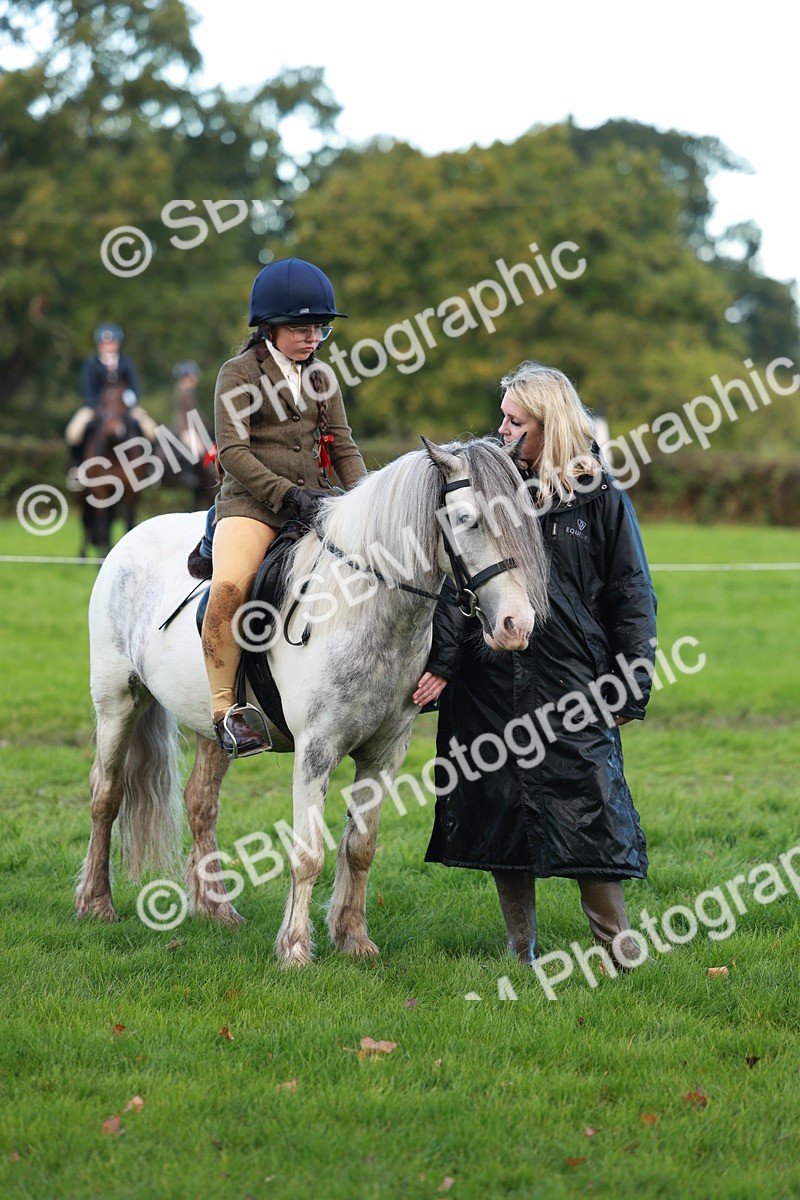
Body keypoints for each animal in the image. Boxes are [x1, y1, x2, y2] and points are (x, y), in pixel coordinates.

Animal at [75, 436, 551, 966]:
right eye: (467, 518)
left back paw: (215, 910)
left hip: (213, 727)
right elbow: (307, 853)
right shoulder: (316, 751)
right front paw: (296, 949)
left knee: (200, 802)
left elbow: (360, 847)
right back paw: (96, 903)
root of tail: (130, 538)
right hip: (117, 702)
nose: (515, 624)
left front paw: (354, 939)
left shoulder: (385, 754)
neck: (360, 605)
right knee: (105, 795)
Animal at [76, 383, 144, 558]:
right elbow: (103, 523)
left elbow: (129, 520)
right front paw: (102, 552)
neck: (114, 450)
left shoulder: (131, 490)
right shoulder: (100, 490)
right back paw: (83, 555)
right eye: (103, 404)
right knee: (86, 521)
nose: (116, 432)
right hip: (82, 493)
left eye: (123, 404)